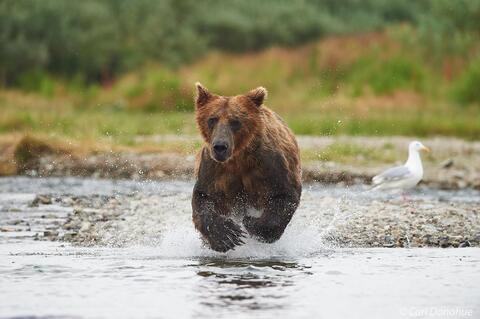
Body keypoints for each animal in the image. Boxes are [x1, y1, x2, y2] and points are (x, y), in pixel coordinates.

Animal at [190, 83, 300, 252]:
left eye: (235, 121)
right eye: (212, 119)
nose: (220, 146)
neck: (238, 158)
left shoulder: (269, 165)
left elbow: (285, 195)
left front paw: (250, 222)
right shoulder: (213, 169)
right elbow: (203, 197)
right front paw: (227, 236)